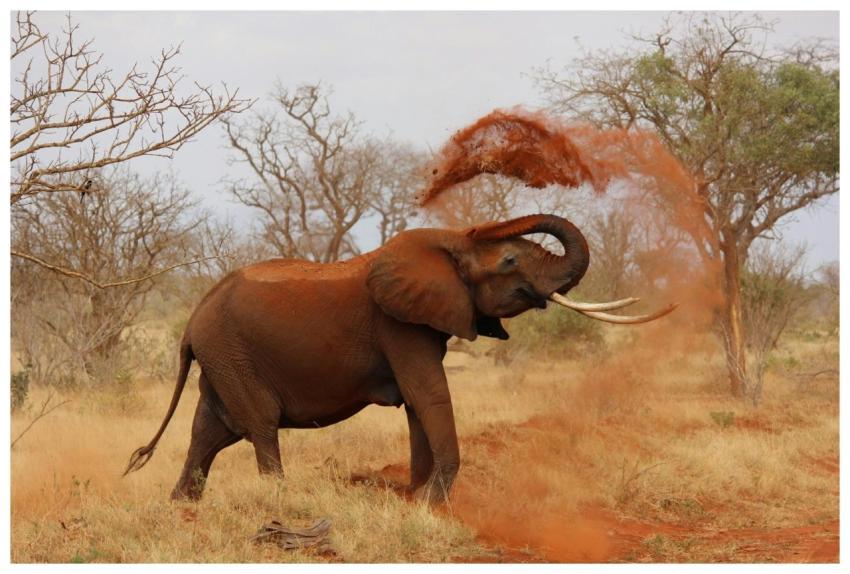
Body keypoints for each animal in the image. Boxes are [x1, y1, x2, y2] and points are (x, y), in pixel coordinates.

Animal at [124, 214, 673, 503]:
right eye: (511, 260)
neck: (449, 243)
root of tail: (192, 320)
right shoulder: (399, 325)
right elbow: (428, 394)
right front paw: (432, 501)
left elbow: (417, 403)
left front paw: (416, 496)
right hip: (232, 353)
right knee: (258, 424)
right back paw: (279, 499)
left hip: (222, 357)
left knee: (210, 431)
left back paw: (182, 507)